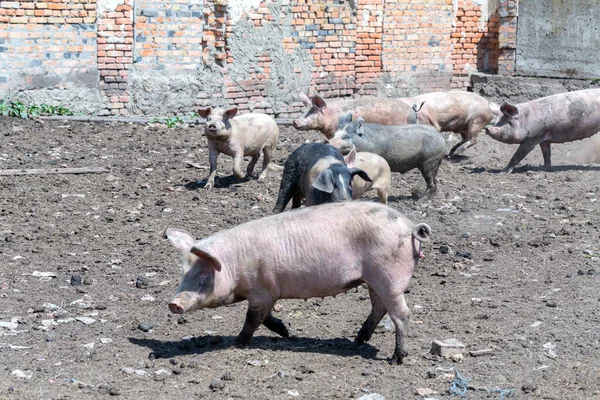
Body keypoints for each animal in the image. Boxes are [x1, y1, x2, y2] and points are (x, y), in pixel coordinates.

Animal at [166, 202, 428, 364]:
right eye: (183, 272)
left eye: (203, 274)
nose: (173, 304)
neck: (234, 264)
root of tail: (410, 226)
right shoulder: (268, 293)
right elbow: (265, 317)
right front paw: (286, 332)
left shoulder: (262, 292)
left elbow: (253, 319)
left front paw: (237, 344)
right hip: (373, 280)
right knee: (379, 308)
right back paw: (357, 340)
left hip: (389, 278)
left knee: (402, 314)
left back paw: (396, 359)